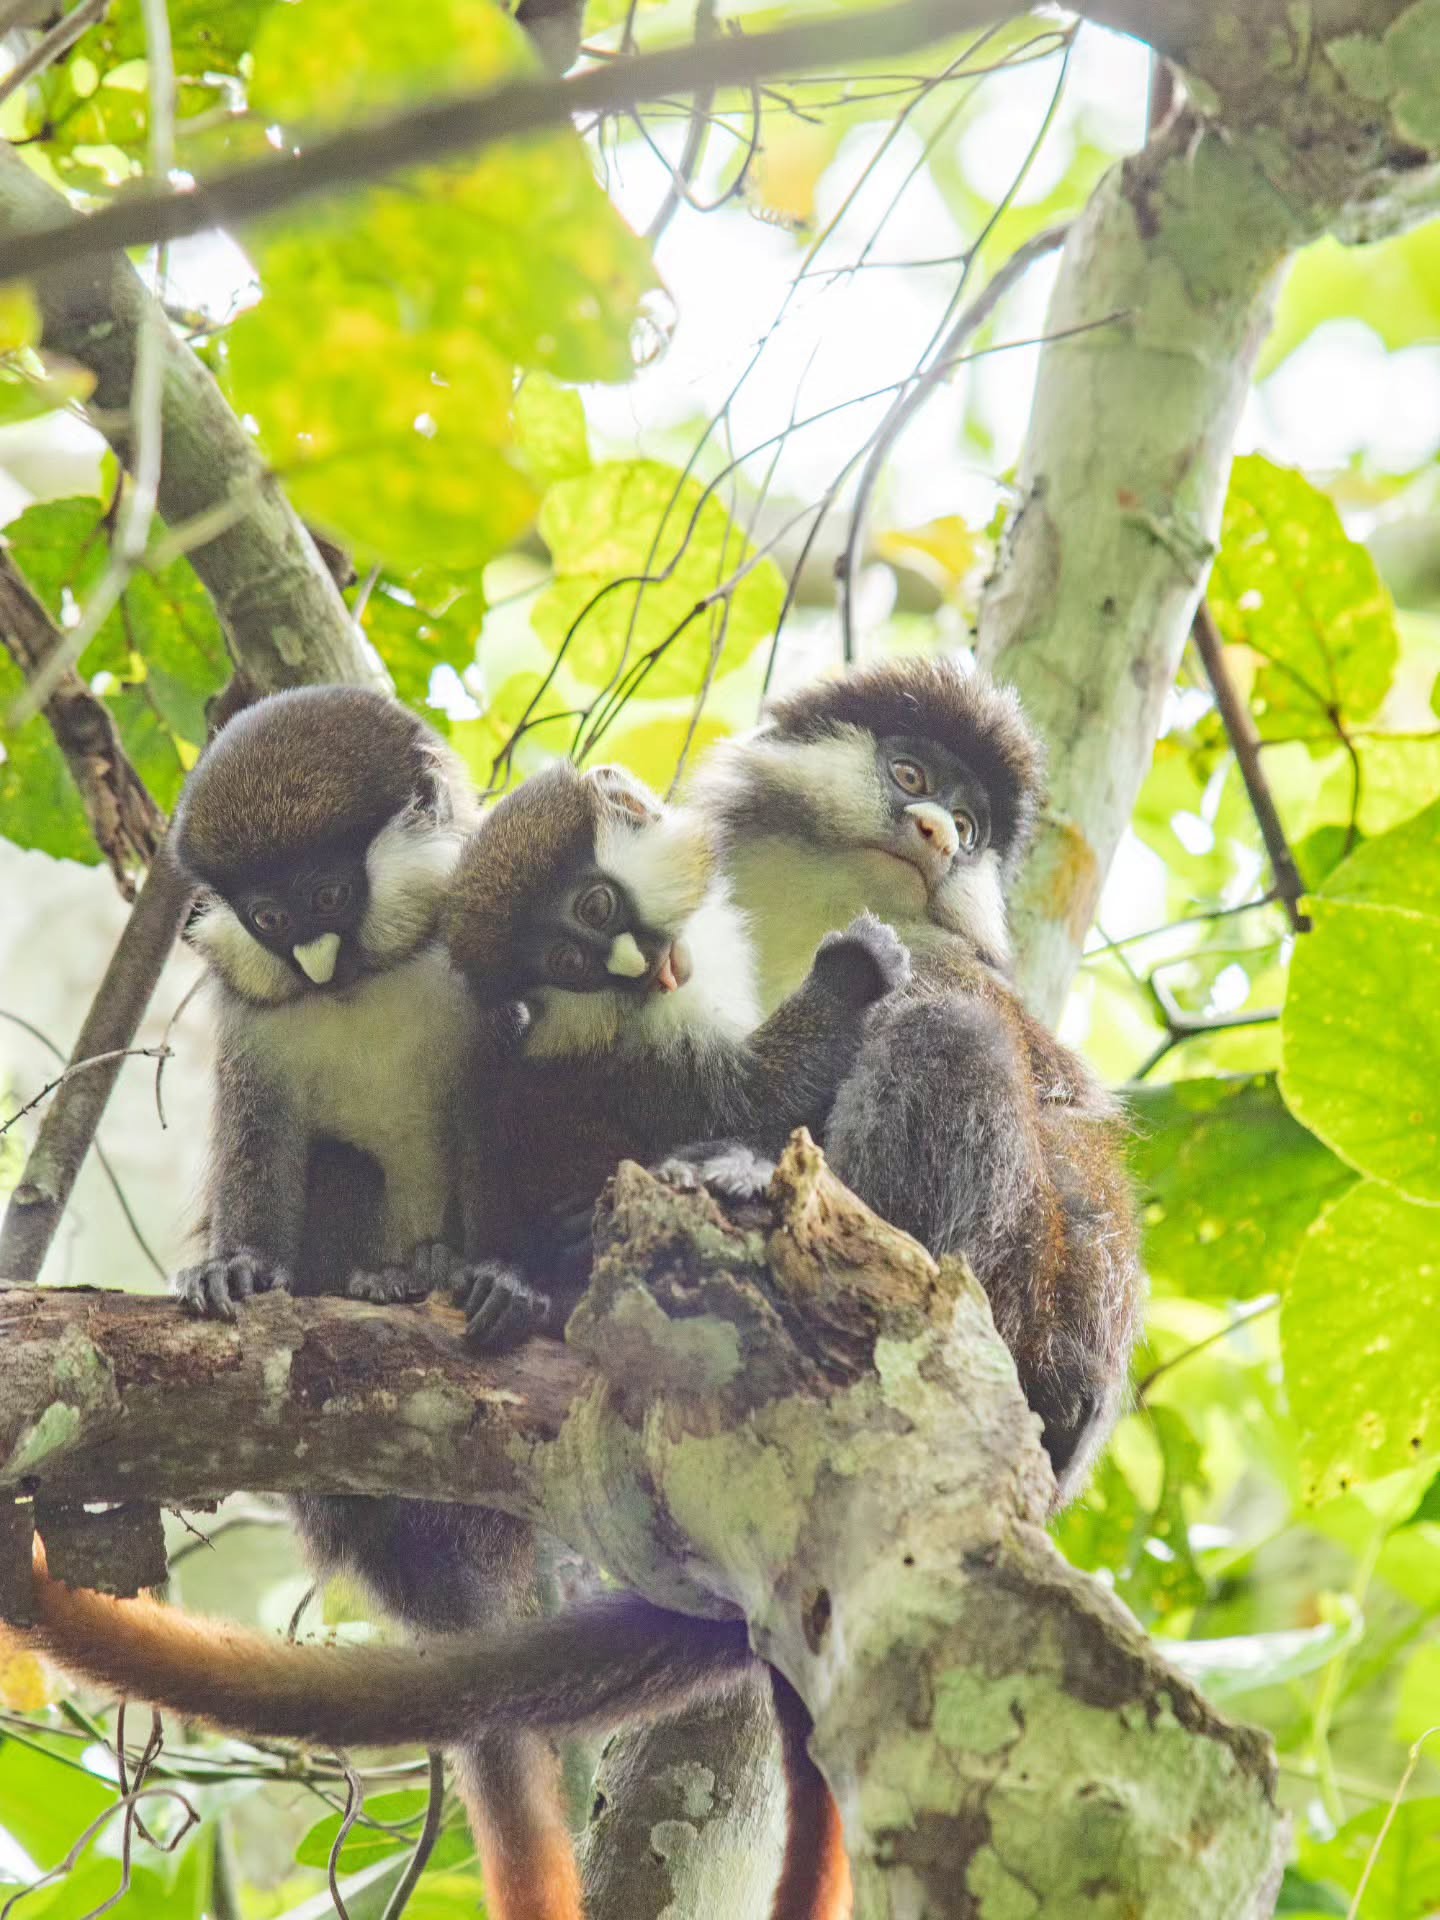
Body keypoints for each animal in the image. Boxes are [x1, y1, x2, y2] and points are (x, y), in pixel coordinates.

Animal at [682, 655, 1142, 1505]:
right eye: (910, 774)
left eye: (967, 826)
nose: (937, 833)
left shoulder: (935, 957)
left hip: (1021, 1288)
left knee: (952, 1033)